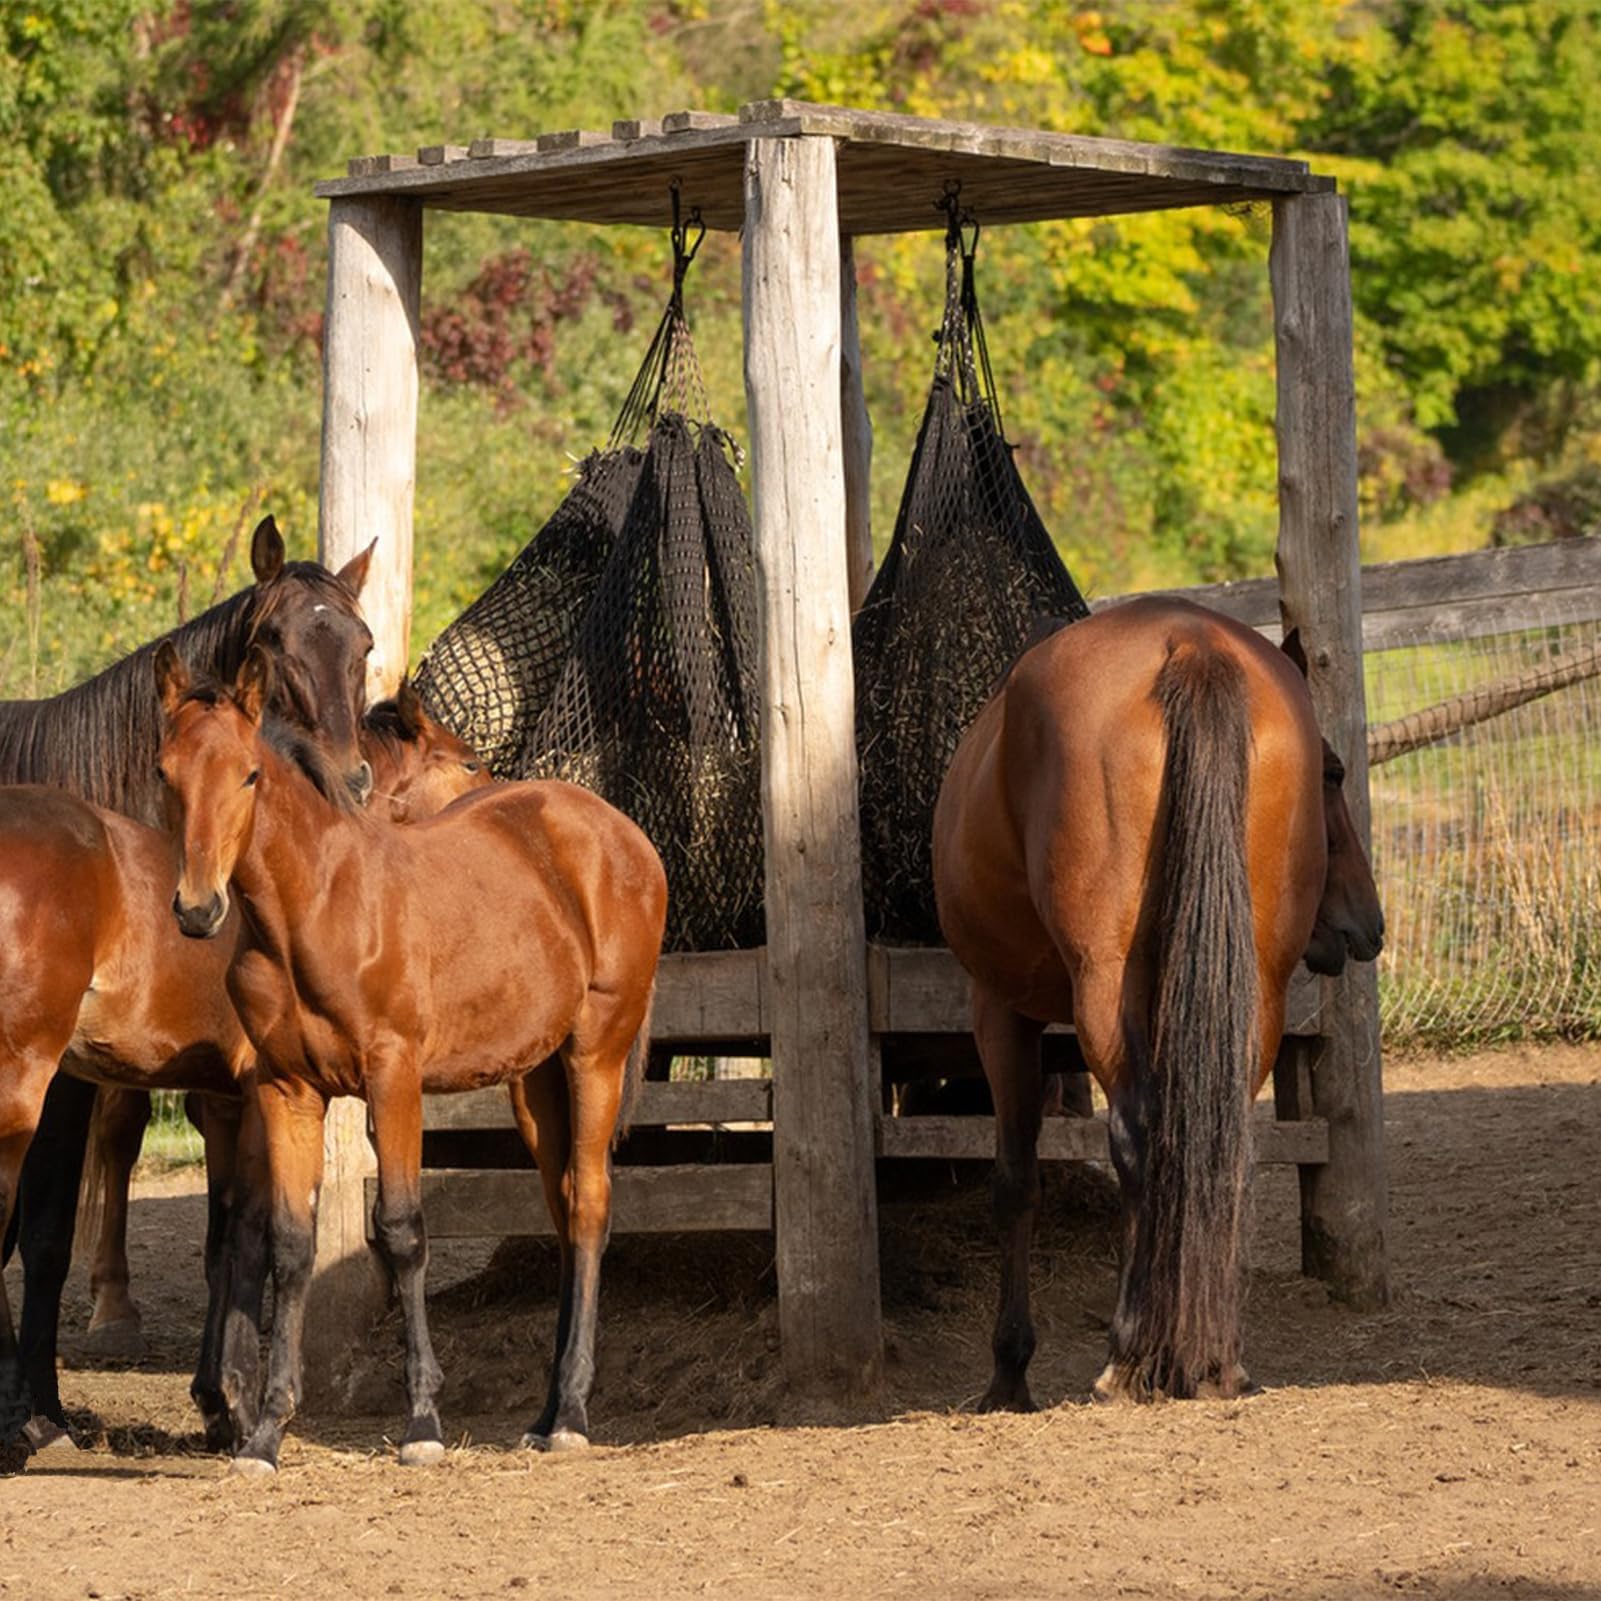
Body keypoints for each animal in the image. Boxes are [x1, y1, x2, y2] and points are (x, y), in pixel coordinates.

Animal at [0, 515, 376, 1456]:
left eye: (363, 645)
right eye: (275, 643)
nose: (351, 783)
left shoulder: (214, 1079)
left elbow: (225, 1230)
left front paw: (218, 1395)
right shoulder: (67, 1078)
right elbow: (47, 1233)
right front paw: (40, 1408)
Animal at [155, 643, 667, 1475]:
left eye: (249, 774)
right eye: (166, 772)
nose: (198, 909)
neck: (315, 907)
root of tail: (622, 833)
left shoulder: (392, 1079)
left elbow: (399, 1229)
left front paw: (423, 1420)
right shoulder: (286, 1089)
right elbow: (291, 1244)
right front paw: (265, 1432)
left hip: (598, 1050)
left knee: (590, 1202)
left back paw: (572, 1413)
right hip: (535, 1080)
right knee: (562, 1207)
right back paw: (545, 1408)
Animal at [931, 596, 1383, 1407]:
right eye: (1332, 772)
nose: (1368, 922)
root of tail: (1192, 644)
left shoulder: (1001, 1010)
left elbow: (1016, 1182)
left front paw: (1009, 1369)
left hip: (1103, 988)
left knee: (1140, 1137)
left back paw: (1131, 1355)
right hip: (1255, 990)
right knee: (1217, 1145)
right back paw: (1214, 1358)